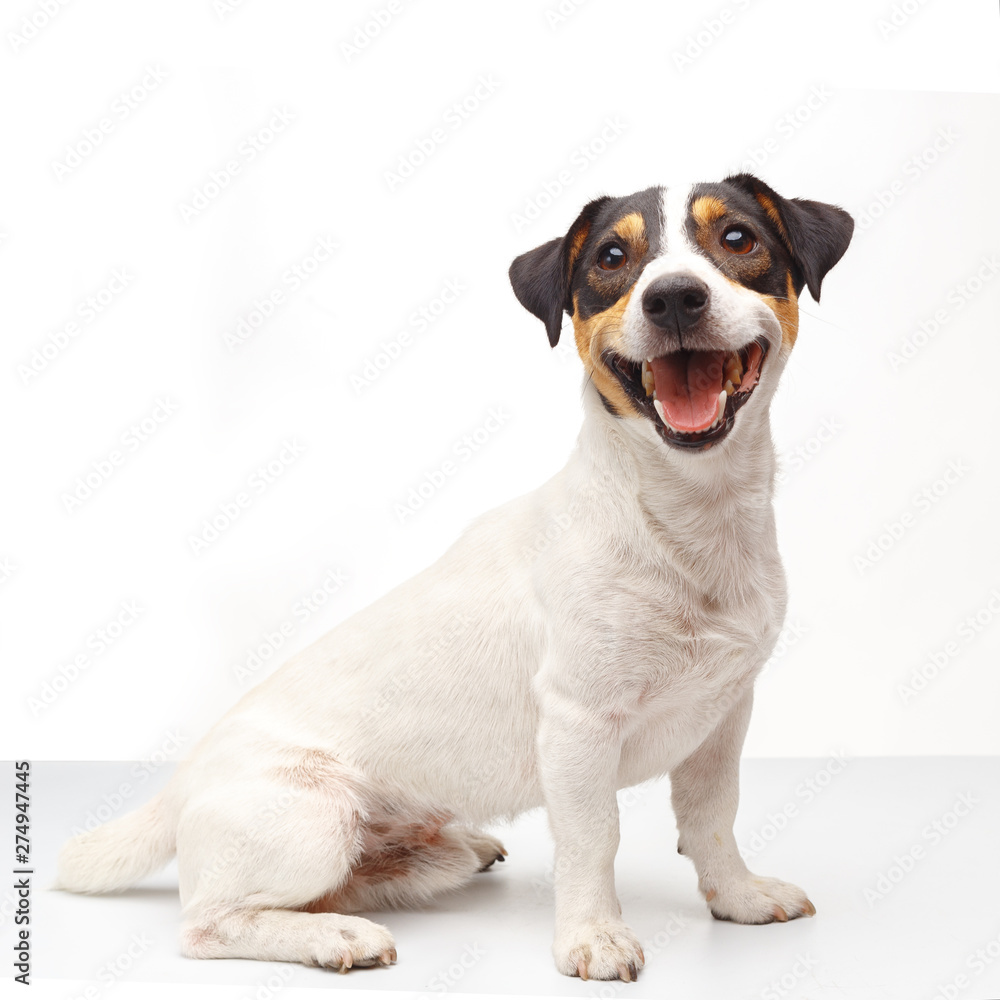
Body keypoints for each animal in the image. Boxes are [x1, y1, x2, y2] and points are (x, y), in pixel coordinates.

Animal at [56, 176, 852, 980]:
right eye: (611, 257)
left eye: (738, 240)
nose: (675, 299)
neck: (686, 520)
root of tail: (179, 785)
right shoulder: (580, 723)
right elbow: (595, 839)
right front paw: (593, 936)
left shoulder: (723, 717)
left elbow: (714, 818)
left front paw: (738, 896)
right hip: (315, 818)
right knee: (208, 925)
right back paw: (332, 936)